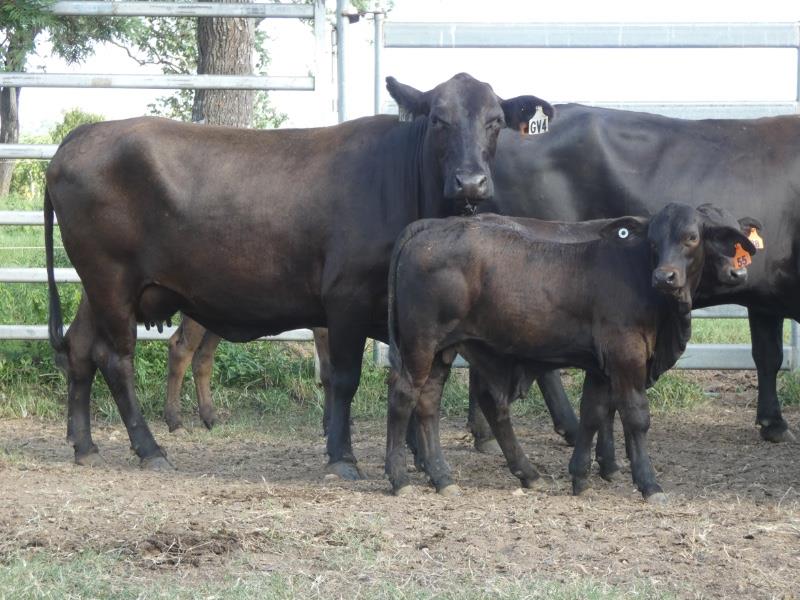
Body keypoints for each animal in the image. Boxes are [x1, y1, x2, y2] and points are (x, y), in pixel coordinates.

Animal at [44, 73, 553, 477]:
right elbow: (345, 379)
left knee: (80, 349)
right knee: (116, 359)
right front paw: (343, 457)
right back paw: (150, 449)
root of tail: (84, 133)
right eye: (438, 120)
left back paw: (84, 445)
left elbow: (418, 378)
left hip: (97, 288)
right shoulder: (345, 301)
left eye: (494, 121)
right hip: (111, 280)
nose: (471, 182)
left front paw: (420, 458)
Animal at [384, 204, 758, 503]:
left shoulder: (601, 367)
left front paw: (581, 477)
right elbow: (635, 415)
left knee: (430, 403)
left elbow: (593, 412)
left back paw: (445, 477)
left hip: (443, 351)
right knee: (404, 396)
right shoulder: (626, 355)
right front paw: (649, 484)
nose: (665, 276)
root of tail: (430, 228)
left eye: (691, 237)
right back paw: (400, 478)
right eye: (653, 241)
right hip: (421, 344)